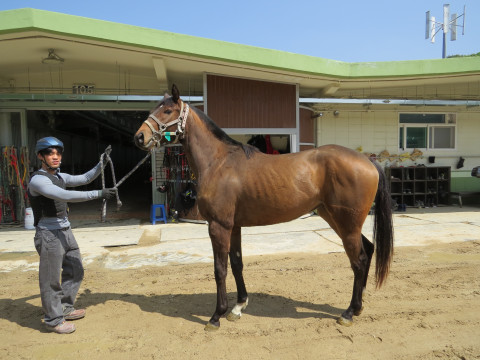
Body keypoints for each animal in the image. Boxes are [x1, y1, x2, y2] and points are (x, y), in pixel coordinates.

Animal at [135, 85, 394, 332]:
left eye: (168, 110)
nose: (139, 137)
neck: (219, 162)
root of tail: (368, 161)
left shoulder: (219, 226)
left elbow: (220, 269)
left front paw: (216, 316)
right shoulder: (234, 226)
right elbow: (237, 263)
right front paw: (238, 307)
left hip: (346, 223)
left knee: (359, 260)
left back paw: (349, 312)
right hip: (336, 219)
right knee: (368, 250)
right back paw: (358, 307)